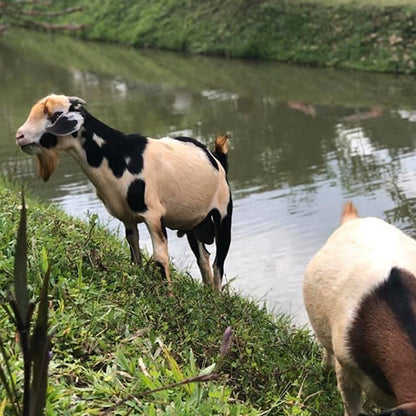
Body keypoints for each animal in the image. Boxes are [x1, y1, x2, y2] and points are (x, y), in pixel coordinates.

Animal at [16, 94, 232, 290]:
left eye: (56, 115)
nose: (19, 136)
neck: (119, 156)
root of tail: (217, 157)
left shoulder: (153, 215)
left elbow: (160, 259)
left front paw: (169, 296)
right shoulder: (127, 217)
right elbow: (134, 254)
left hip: (223, 213)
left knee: (218, 263)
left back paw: (216, 298)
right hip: (193, 223)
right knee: (203, 258)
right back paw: (207, 294)